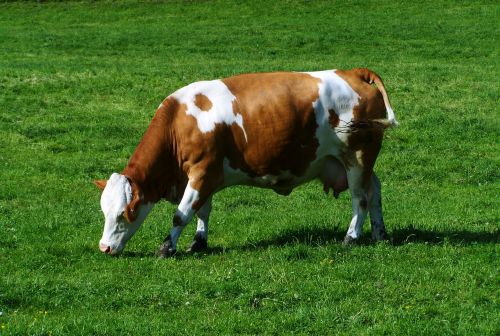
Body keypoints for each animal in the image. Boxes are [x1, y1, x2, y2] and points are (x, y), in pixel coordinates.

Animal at [94, 68, 398, 258]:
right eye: (104, 212)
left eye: (124, 213)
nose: (104, 248)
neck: (178, 124)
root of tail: (353, 72)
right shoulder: (205, 176)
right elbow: (202, 211)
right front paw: (198, 242)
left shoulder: (202, 173)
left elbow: (181, 214)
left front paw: (167, 247)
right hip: (359, 161)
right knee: (375, 191)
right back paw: (379, 233)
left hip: (356, 156)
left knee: (360, 199)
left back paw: (351, 237)